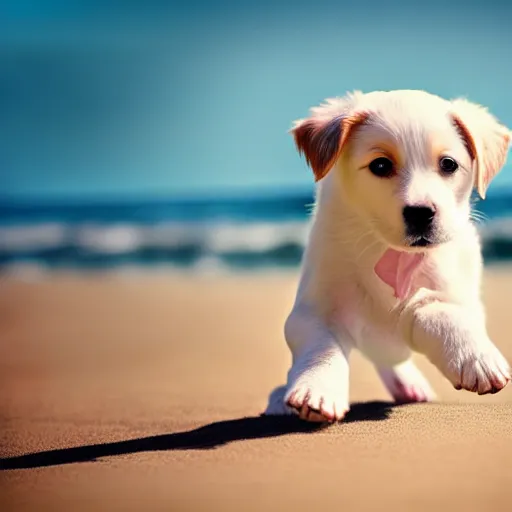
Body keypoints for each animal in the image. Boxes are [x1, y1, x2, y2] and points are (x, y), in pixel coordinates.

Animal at [266, 89, 510, 424]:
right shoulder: (312, 311)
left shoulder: (455, 295)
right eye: (380, 166)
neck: (391, 252)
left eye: (448, 164)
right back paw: (280, 398)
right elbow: (322, 348)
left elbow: (438, 312)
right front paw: (316, 389)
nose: (420, 213)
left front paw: (475, 357)